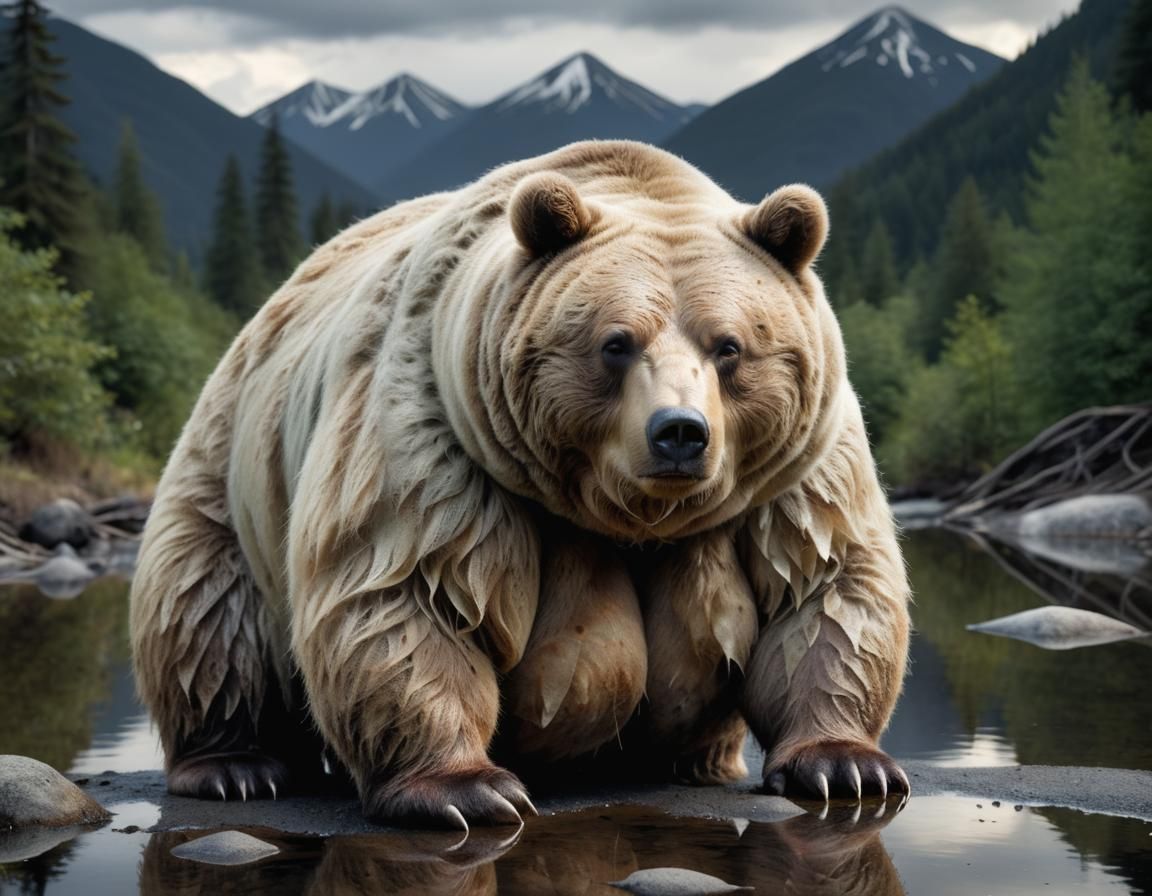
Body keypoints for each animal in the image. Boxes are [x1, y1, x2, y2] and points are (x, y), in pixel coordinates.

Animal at [130, 140, 910, 828]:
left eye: (729, 346)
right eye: (616, 342)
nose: (680, 433)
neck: (630, 516)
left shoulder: (793, 474)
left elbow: (826, 586)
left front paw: (847, 764)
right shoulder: (440, 434)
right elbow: (410, 593)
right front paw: (466, 788)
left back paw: (700, 761)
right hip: (229, 470)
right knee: (207, 613)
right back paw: (235, 763)